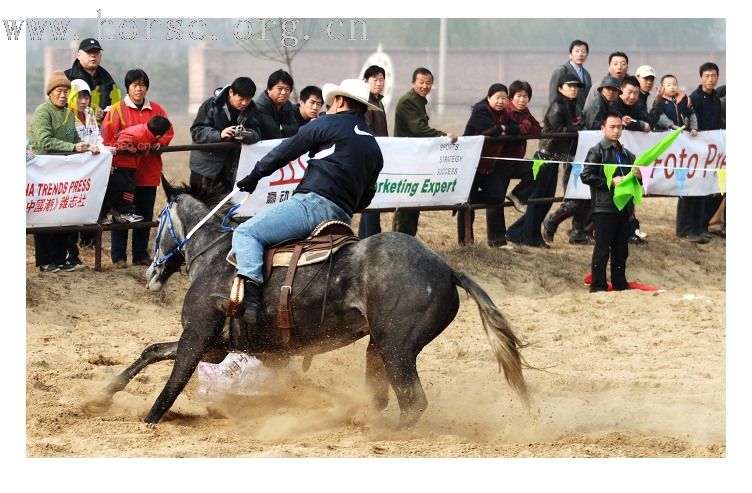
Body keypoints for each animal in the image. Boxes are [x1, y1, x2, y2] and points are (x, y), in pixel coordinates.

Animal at [95, 179, 528, 424]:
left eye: (159, 223)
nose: (151, 274)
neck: (218, 254)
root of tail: (447, 268)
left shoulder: (197, 336)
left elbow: (171, 384)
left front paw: (148, 418)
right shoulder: (219, 347)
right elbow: (152, 350)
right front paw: (101, 396)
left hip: (397, 347)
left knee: (413, 403)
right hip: (381, 347)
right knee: (386, 395)